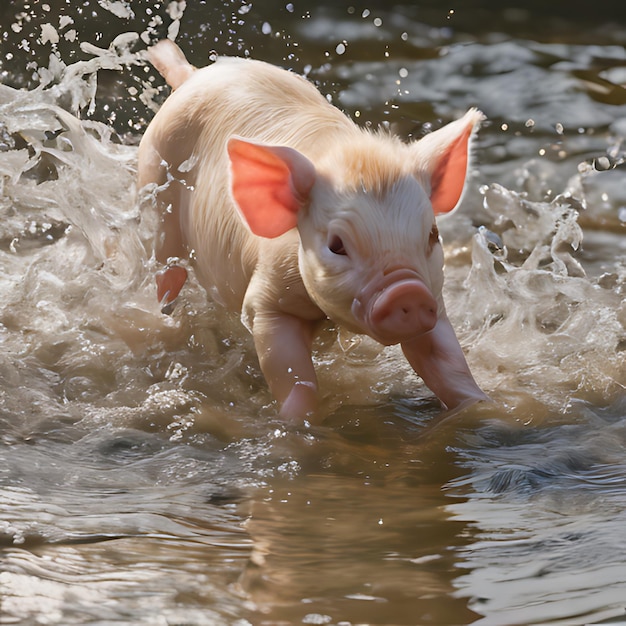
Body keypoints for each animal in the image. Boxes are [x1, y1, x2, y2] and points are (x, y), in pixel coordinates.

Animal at [138, 39, 488, 420]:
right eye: (337, 245)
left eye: (432, 236)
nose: (406, 291)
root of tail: (191, 75)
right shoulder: (266, 296)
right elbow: (291, 371)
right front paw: (295, 419)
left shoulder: (434, 297)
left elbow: (445, 361)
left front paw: (483, 404)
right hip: (154, 185)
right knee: (165, 264)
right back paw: (166, 309)